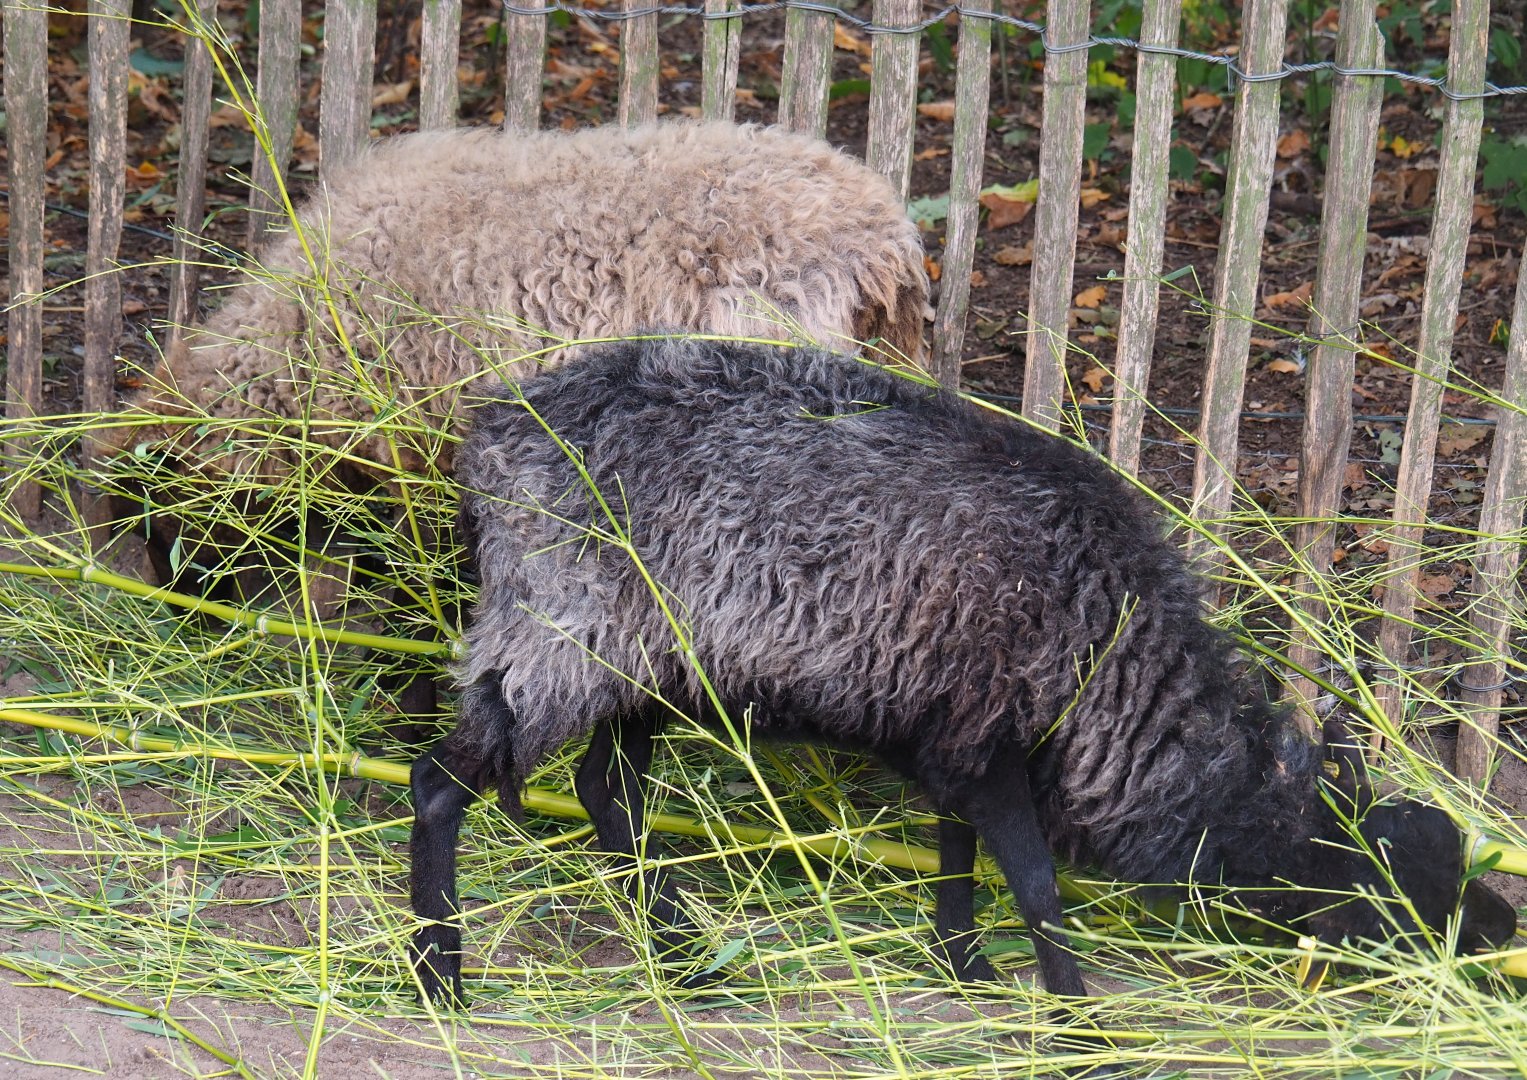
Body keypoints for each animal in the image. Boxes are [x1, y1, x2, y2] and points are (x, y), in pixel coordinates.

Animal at [408, 336, 1518, 1008]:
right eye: (1389, 890)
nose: (1497, 937)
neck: (1114, 664)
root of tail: (495, 429)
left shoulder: (958, 735)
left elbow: (958, 858)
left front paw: (968, 965)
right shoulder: (991, 744)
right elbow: (1032, 882)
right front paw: (1075, 1015)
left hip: (644, 665)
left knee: (608, 792)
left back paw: (682, 961)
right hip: (556, 638)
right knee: (439, 783)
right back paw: (439, 974)